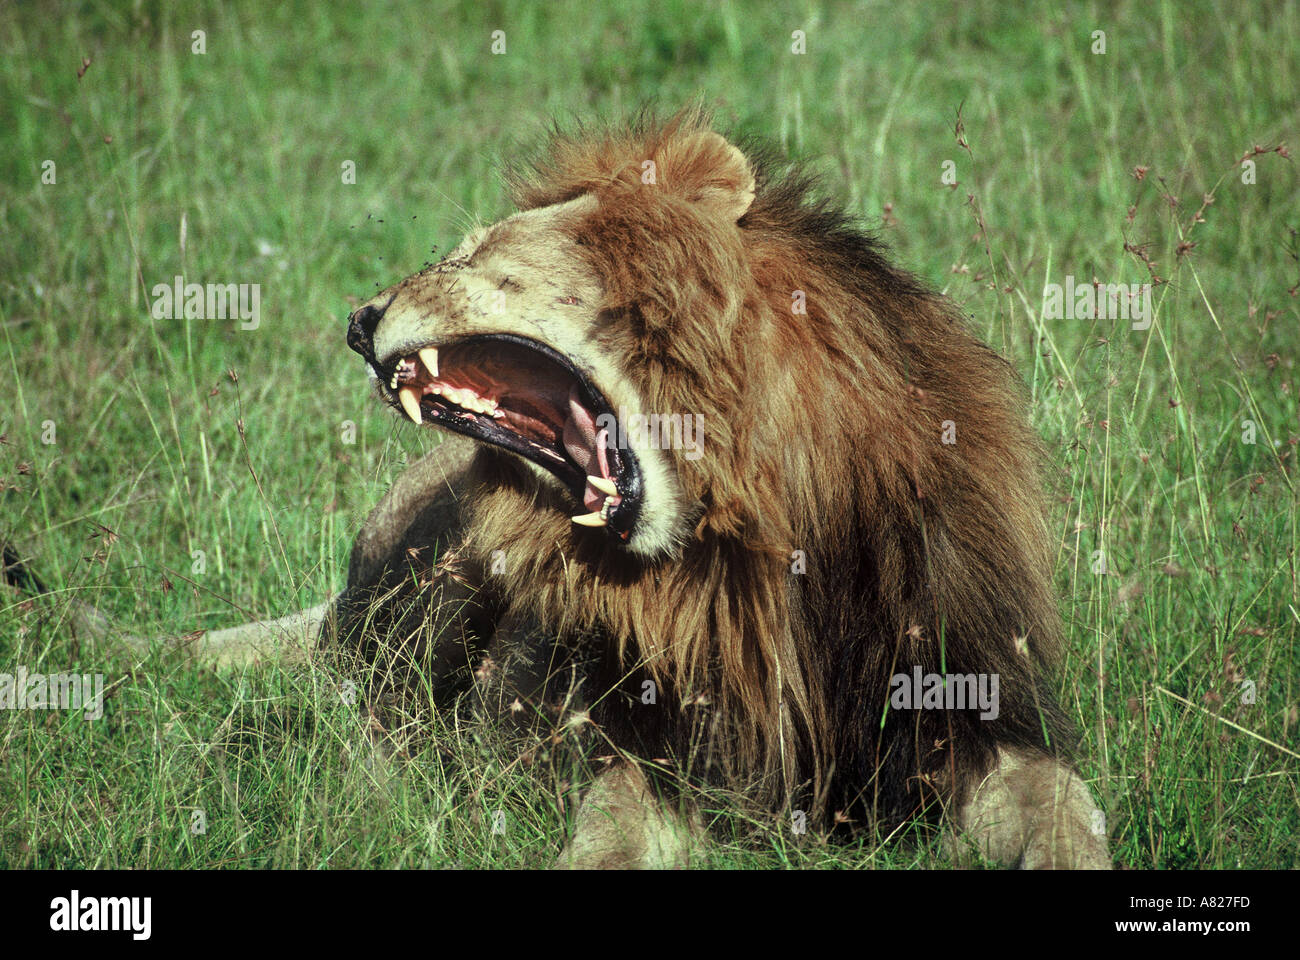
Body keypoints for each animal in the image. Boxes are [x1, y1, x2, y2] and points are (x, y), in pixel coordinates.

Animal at [333, 109, 1110, 869]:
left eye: (479, 252)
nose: (356, 323)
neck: (756, 528)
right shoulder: (662, 751)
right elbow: (611, 831)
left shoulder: (971, 717)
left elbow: (1068, 808)